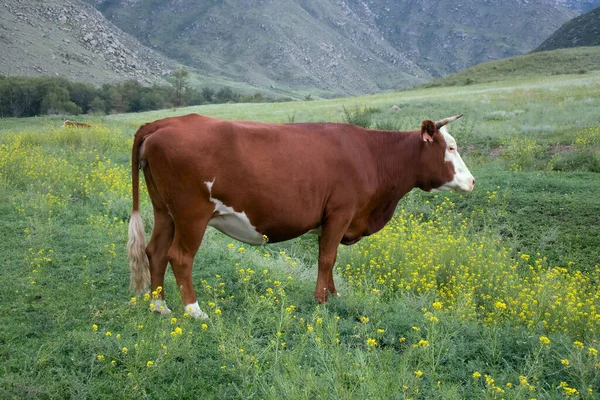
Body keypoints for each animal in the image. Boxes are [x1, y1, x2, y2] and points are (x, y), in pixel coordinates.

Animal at [126, 113, 474, 318]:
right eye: (451, 148)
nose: (471, 181)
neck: (372, 155)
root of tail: (165, 122)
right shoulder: (340, 213)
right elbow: (327, 258)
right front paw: (321, 301)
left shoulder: (335, 221)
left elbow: (331, 259)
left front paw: (333, 294)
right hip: (192, 214)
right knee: (180, 257)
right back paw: (194, 311)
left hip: (165, 211)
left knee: (155, 251)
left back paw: (160, 306)